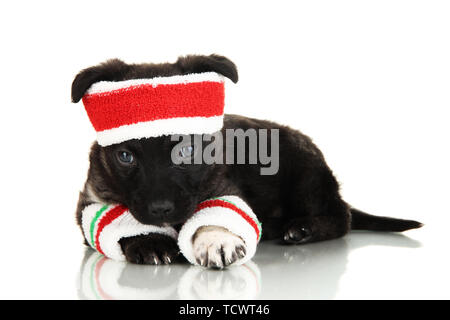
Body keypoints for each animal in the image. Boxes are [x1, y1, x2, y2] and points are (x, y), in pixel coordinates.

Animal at [71, 54, 422, 268]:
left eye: (186, 151)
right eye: (125, 157)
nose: (160, 210)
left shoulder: (225, 190)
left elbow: (214, 217)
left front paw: (216, 239)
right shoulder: (90, 202)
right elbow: (117, 223)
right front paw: (152, 242)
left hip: (304, 174)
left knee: (341, 217)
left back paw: (303, 228)